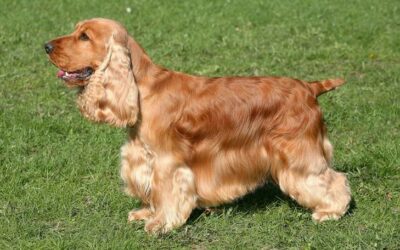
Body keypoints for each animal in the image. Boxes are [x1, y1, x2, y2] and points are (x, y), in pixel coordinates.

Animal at [44, 18, 350, 234]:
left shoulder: (168, 162)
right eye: (76, 31)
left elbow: (167, 193)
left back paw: (331, 211)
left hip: (299, 153)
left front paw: (160, 224)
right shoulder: (143, 158)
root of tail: (309, 87)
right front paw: (145, 213)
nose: (46, 46)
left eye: (84, 36)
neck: (142, 89)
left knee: (333, 180)